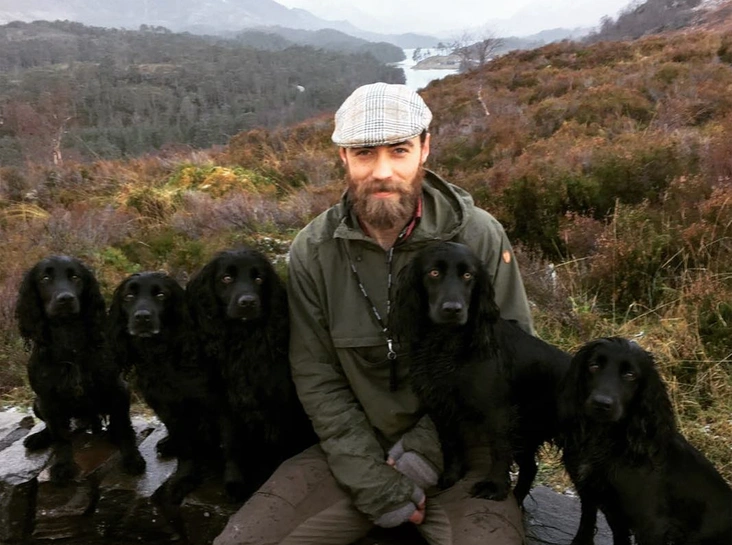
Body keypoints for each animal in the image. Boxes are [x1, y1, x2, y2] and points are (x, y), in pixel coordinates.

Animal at [15, 255, 145, 483]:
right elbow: (60, 438)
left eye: (75, 277)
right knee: (52, 428)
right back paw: (39, 438)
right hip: (37, 403)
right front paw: (63, 466)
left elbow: (124, 427)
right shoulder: (48, 399)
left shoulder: (117, 389)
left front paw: (131, 458)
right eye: (45, 278)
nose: (65, 299)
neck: (69, 344)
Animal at [108, 271, 219, 504]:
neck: (161, 357)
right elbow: (186, 448)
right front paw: (184, 478)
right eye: (129, 296)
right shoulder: (168, 408)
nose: (142, 317)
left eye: (161, 295)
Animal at [186, 248, 317, 499]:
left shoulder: (279, 403)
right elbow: (231, 443)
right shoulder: (225, 402)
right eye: (226, 278)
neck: (243, 340)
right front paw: (235, 481)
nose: (248, 302)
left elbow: (279, 445)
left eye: (259, 279)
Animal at [393, 241, 571, 504]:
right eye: (433, 273)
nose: (452, 309)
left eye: (468, 275)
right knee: (530, 467)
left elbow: (499, 449)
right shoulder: (440, 406)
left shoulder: (498, 412)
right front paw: (452, 476)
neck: (447, 344)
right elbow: (451, 444)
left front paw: (494, 486)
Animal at [559, 337, 732, 545]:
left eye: (630, 374)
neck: (603, 439)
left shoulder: (650, 523)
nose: (601, 404)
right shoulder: (592, 495)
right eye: (594, 366)